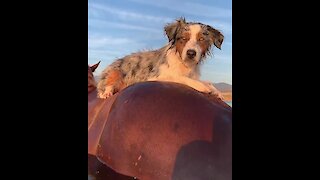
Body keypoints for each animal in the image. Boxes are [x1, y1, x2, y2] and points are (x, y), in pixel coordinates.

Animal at [97, 17, 225, 100]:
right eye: (183, 38)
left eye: (201, 40)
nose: (191, 53)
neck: (184, 64)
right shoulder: (157, 76)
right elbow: (180, 77)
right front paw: (202, 86)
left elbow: (207, 82)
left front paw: (216, 91)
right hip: (115, 71)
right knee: (105, 86)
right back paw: (106, 93)